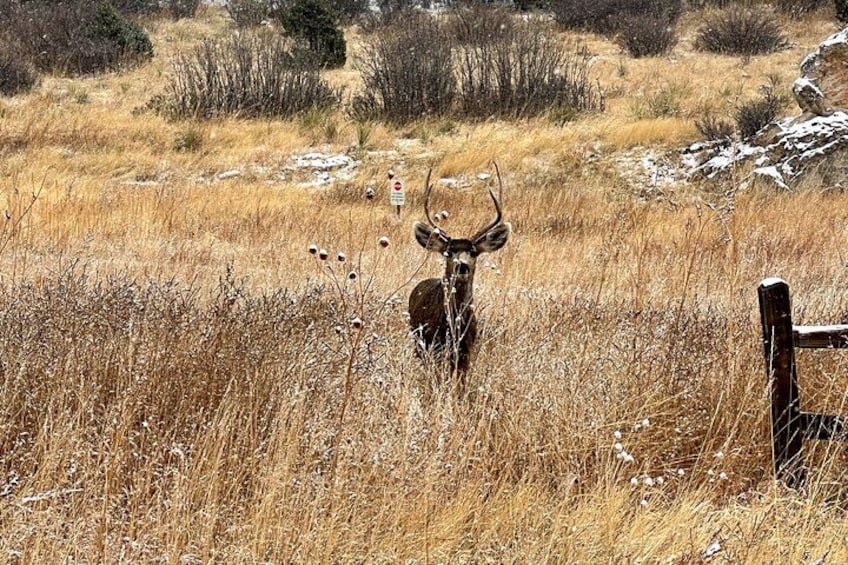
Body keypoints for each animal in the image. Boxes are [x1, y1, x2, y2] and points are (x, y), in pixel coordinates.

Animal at [408, 166, 511, 395]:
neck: (453, 326)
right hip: (418, 342)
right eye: (448, 251)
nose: (461, 266)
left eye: (473, 251)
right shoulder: (435, 347)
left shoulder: (466, 352)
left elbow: (461, 388)